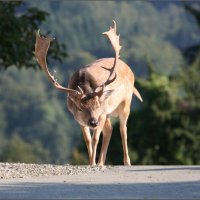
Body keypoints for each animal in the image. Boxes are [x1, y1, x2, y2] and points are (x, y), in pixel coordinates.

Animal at [35, 20, 143, 166]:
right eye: (80, 108)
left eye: (97, 105)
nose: (93, 122)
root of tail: (129, 68)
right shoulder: (79, 119)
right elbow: (87, 140)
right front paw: (91, 162)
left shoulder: (102, 112)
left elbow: (95, 138)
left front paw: (92, 163)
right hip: (108, 114)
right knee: (109, 130)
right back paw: (101, 163)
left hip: (125, 102)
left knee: (123, 129)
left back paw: (126, 162)